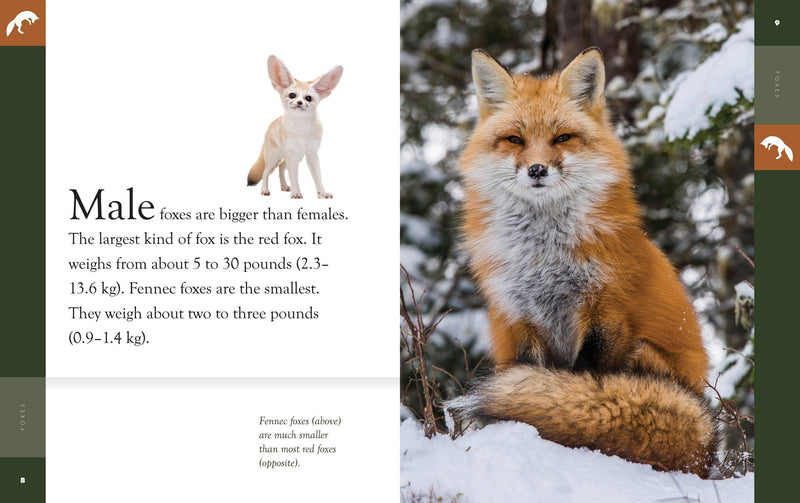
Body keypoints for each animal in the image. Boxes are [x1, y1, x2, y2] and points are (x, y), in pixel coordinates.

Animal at [246, 55, 343, 199]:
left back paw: (284, 186)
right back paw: (264, 190)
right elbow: (294, 176)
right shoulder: (292, 154)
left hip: (293, 157)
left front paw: (322, 193)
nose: (299, 102)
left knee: (281, 167)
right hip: (274, 157)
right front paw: (296, 192)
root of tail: (272, 123)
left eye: (308, 98)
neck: (301, 130)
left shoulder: (311, 154)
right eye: (292, 95)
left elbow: (318, 177)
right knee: (265, 172)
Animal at [447, 48, 717, 477]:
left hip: (642, 351)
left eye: (562, 138)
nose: (537, 170)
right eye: (515, 140)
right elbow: (540, 376)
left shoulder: (606, 311)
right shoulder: (520, 319)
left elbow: (583, 384)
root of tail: (707, 451)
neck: (543, 257)